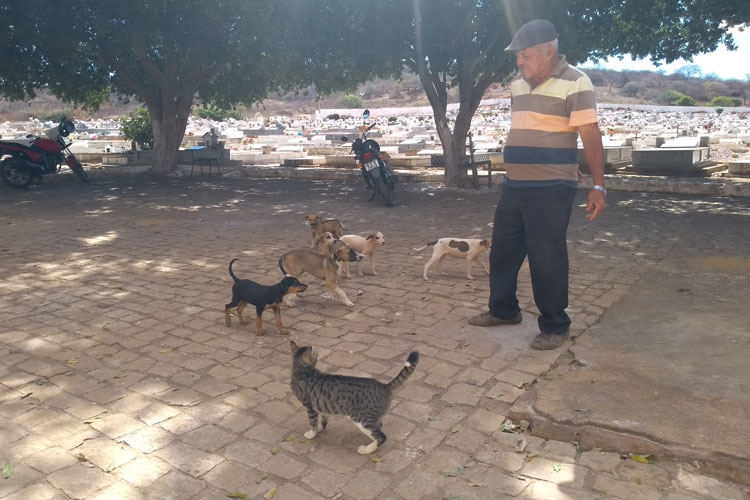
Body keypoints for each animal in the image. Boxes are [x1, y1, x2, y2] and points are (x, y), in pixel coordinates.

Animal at [290, 342, 420, 456]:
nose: (318, 355)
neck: (301, 369)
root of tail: (384, 386)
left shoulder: (309, 406)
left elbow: (312, 422)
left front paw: (312, 434)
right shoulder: (320, 404)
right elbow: (322, 417)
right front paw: (321, 427)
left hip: (362, 420)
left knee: (381, 436)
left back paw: (366, 450)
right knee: (379, 425)